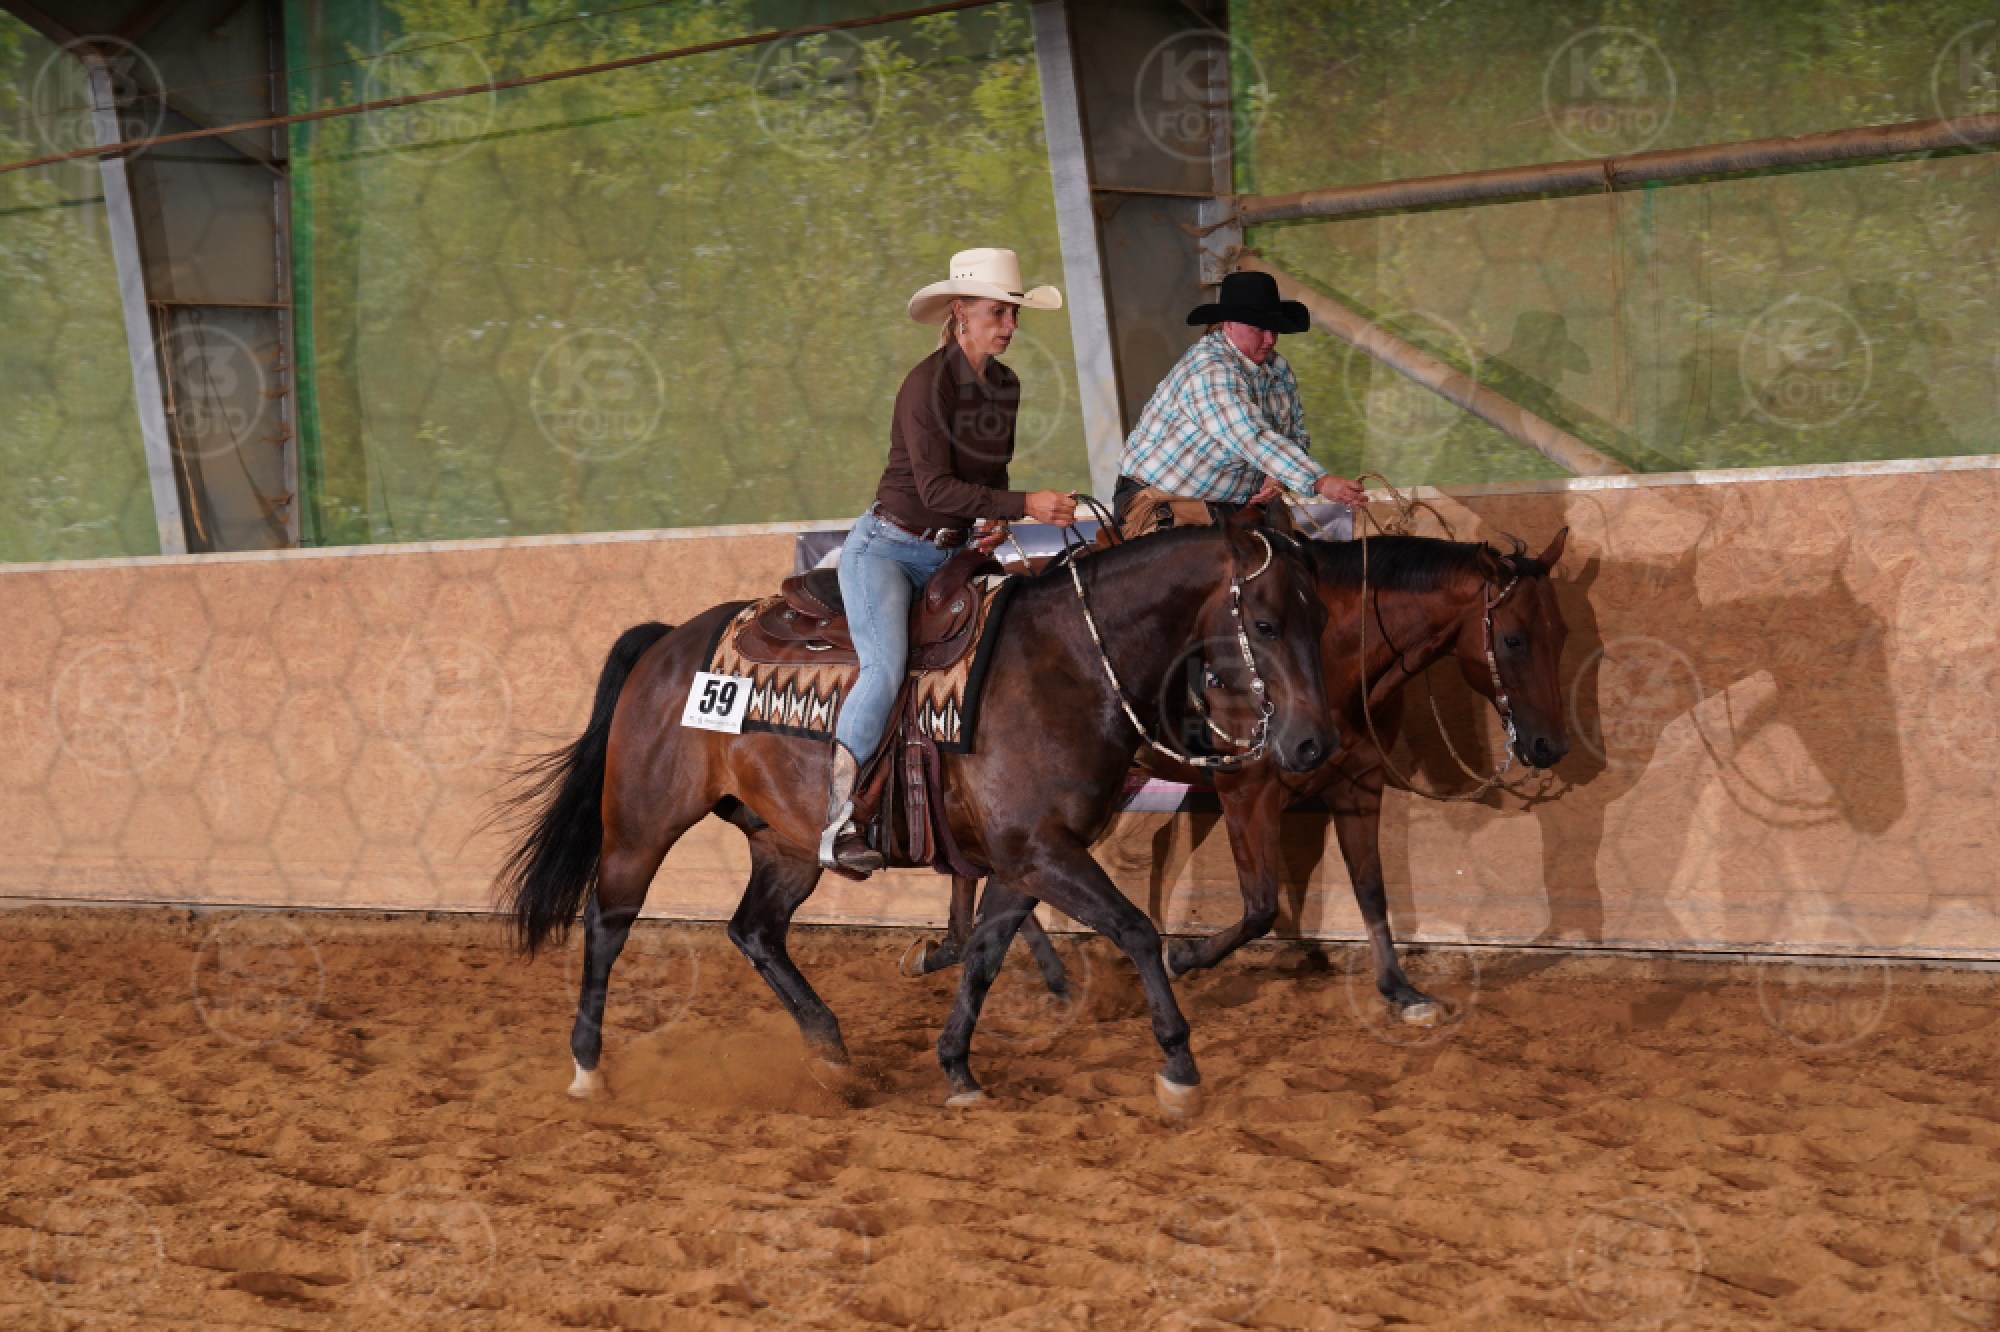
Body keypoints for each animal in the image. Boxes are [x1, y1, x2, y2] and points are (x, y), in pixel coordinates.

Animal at [489, 516, 1337, 1116]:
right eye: (1265, 624)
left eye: (1322, 623)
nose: (1312, 742)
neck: (1064, 662)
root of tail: (667, 643)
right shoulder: (1043, 851)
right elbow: (1135, 930)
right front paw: (1179, 1067)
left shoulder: (1026, 859)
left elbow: (986, 953)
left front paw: (957, 1067)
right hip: (643, 823)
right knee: (607, 924)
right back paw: (587, 1068)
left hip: (785, 844)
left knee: (754, 930)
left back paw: (831, 1055)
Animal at [923, 528, 1573, 1030]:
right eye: (1513, 639)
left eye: (1562, 634)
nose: (1551, 745)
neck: (1333, 654)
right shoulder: (1247, 791)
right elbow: (1261, 906)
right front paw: (1186, 957)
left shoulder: (1358, 782)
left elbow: (1370, 887)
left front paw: (1401, 991)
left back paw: (964, 949)